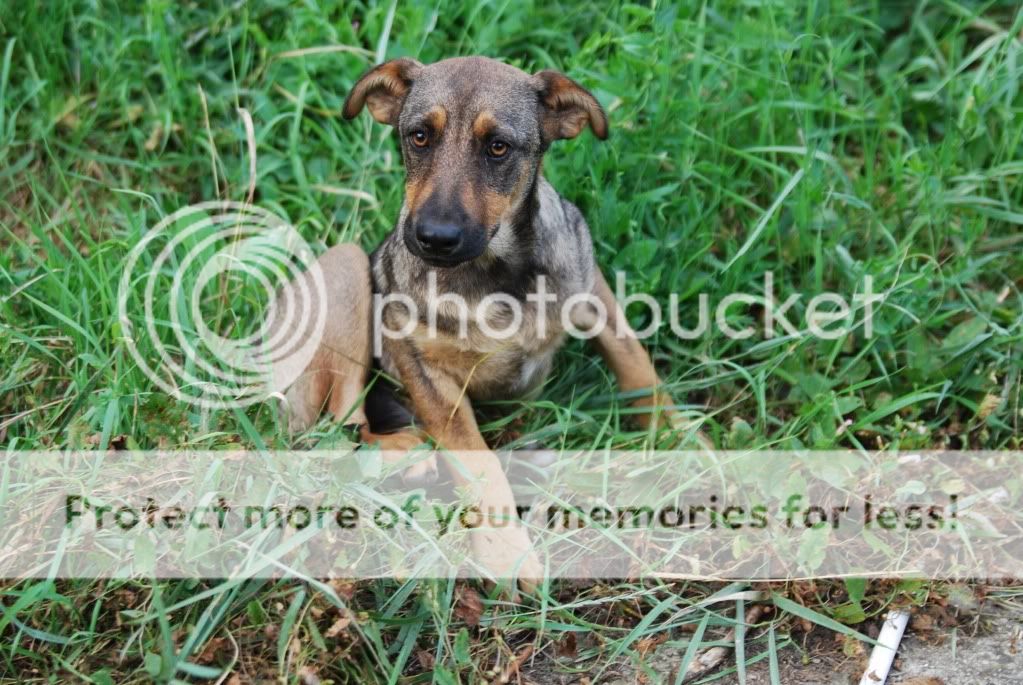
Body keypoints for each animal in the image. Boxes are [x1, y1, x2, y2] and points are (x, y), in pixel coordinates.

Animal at [270, 54, 695, 588]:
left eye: (498, 147)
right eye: (419, 137)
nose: (433, 238)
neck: (496, 273)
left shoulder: (591, 286)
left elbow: (637, 365)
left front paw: (683, 440)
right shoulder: (424, 371)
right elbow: (479, 463)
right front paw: (506, 553)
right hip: (347, 268)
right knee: (334, 430)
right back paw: (404, 452)